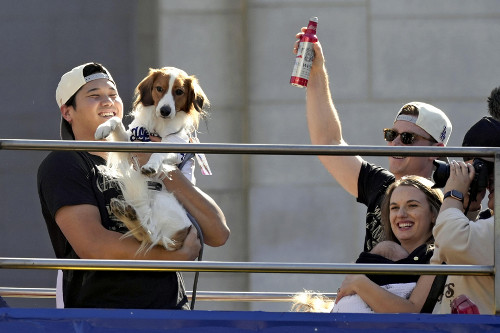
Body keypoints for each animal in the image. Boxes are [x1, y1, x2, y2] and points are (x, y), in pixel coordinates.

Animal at [94, 66, 208, 250]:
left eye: (179, 91)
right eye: (159, 88)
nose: (165, 110)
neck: (159, 127)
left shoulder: (175, 148)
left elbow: (159, 152)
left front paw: (151, 166)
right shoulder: (129, 146)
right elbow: (116, 119)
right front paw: (103, 127)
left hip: (165, 203)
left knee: (150, 234)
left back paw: (130, 216)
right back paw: (126, 213)